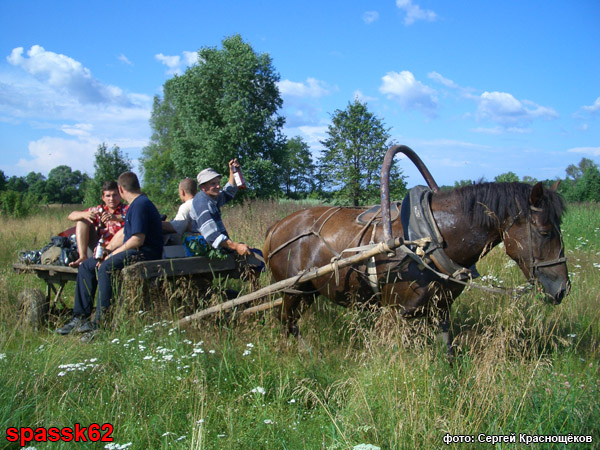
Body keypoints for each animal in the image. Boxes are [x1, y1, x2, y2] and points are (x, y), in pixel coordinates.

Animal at [264, 174, 568, 354]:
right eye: (544, 232)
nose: (563, 288)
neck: (429, 239)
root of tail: (277, 225)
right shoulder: (394, 314)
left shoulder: (441, 309)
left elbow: (447, 350)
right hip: (292, 290)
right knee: (287, 322)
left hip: (308, 291)